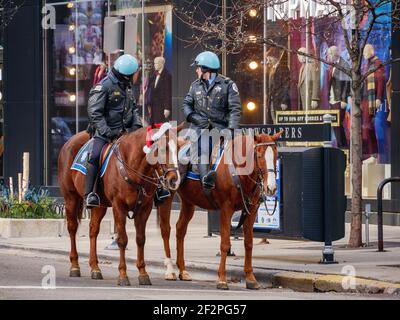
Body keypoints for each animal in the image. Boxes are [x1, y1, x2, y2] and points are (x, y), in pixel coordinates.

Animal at [57, 124, 180, 286]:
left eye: (177, 148)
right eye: (160, 149)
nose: (174, 180)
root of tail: (68, 142)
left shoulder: (144, 209)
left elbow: (141, 239)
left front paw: (143, 274)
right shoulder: (118, 207)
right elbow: (122, 240)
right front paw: (123, 275)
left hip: (100, 205)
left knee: (93, 230)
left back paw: (95, 268)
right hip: (71, 198)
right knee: (72, 228)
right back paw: (75, 266)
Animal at [156, 130, 282, 290]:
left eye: (276, 155)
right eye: (259, 155)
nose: (271, 188)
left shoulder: (251, 210)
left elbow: (248, 243)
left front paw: (250, 278)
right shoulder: (226, 209)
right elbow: (225, 244)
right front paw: (222, 279)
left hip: (189, 201)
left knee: (180, 229)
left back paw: (183, 271)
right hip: (168, 195)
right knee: (166, 229)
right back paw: (170, 270)